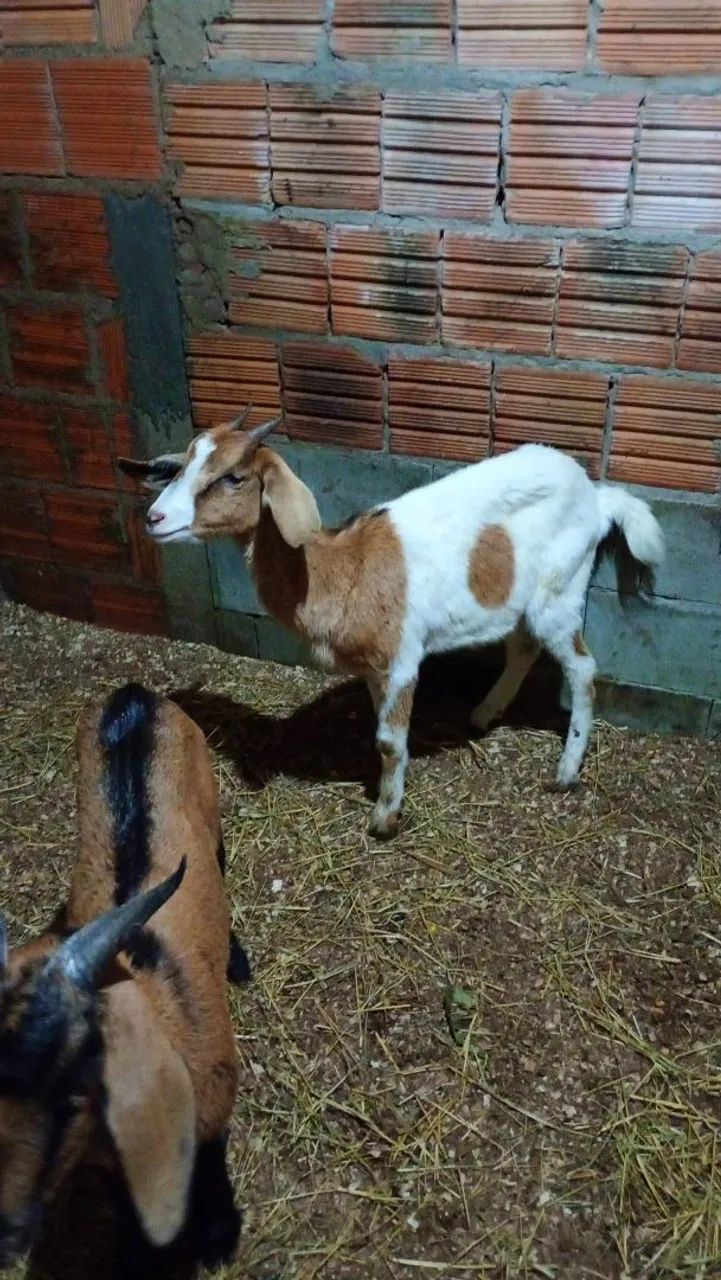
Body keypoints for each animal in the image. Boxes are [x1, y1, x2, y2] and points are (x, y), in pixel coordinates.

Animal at [0, 683, 246, 1270]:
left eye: (70, 1088)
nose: (3, 1231)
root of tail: (132, 695)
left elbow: (212, 1164)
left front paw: (219, 1235)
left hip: (210, 802)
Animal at [120, 411, 664, 837]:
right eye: (183, 465)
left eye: (233, 476)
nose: (155, 517)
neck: (341, 570)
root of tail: (597, 498)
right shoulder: (372, 669)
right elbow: (382, 732)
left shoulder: (401, 658)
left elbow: (388, 739)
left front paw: (385, 818)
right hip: (521, 601)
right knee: (523, 651)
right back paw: (483, 714)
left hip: (561, 592)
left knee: (583, 668)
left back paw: (567, 770)